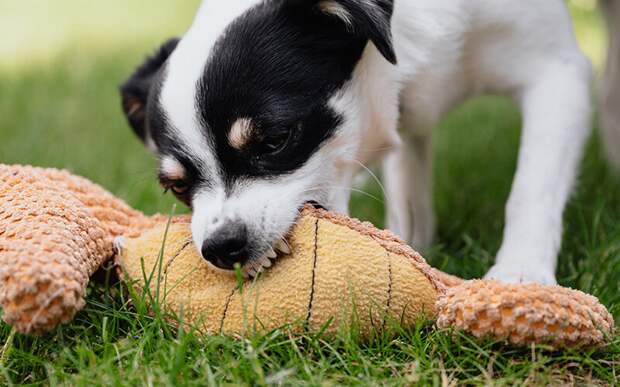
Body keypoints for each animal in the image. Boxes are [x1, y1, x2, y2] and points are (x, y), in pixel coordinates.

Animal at [118, 0, 616, 284]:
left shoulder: (557, 72)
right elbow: (408, 187)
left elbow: (533, 187)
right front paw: (412, 246)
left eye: (275, 139)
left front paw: (521, 273)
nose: (220, 246)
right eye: (177, 187)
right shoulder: (405, 114)